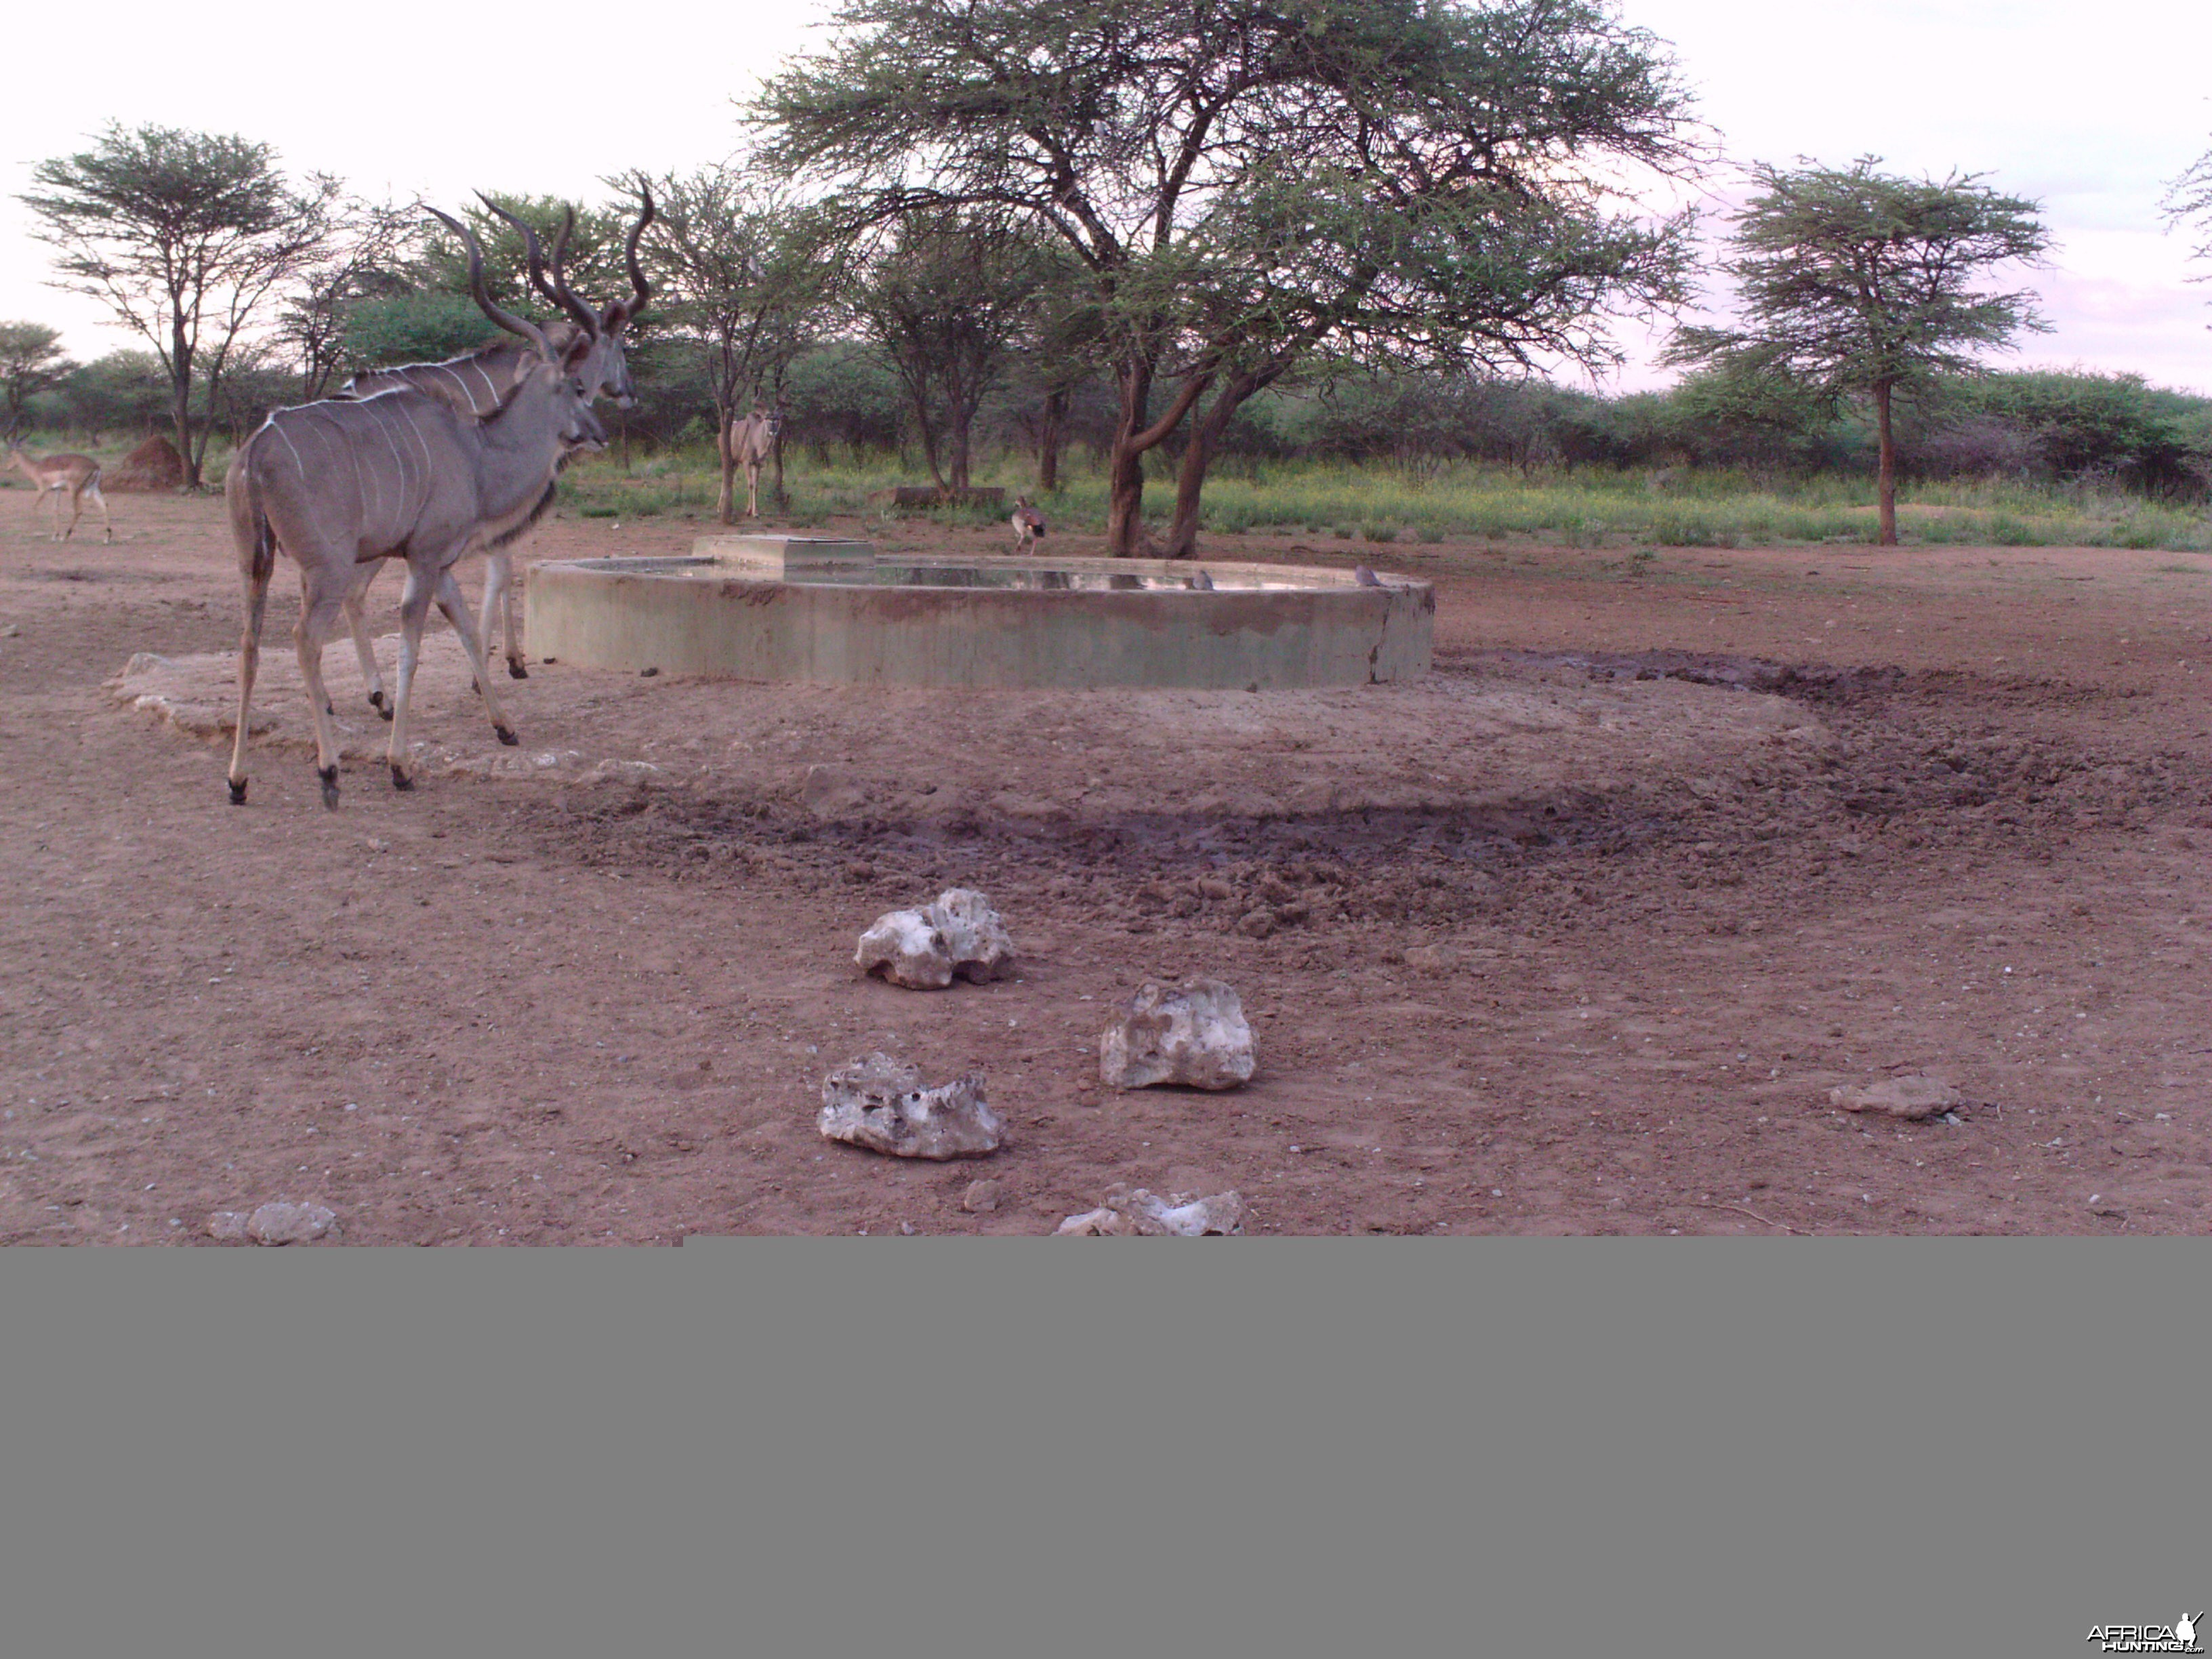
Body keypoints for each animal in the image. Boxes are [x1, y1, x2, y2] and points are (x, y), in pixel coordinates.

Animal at [225, 211, 606, 809]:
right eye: (576, 386)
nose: (598, 433)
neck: (475, 450)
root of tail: (256, 452)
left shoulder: (440, 563)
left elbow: (467, 629)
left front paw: (505, 726)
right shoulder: (425, 559)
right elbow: (412, 645)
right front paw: (400, 765)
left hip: (254, 563)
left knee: (249, 645)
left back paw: (239, 780)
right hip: (327, 569)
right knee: (303, 640)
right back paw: (329, 770)